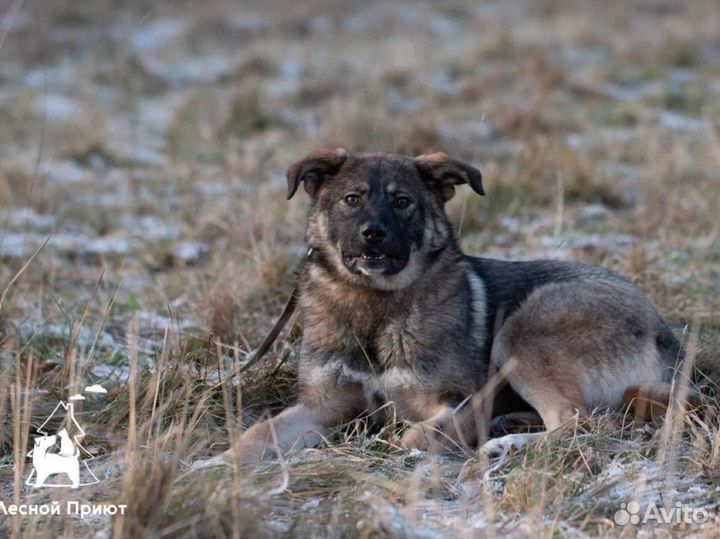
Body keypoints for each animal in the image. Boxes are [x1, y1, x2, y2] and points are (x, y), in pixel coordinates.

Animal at [217, 148, 684, 464]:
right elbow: (259, 432)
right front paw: (219, 465)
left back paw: (506, 444)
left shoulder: (455, 402)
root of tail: (663, 332)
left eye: (403, 201)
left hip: (523, 330)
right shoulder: (322, 405)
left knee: (577, 421)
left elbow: (415, 435)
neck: (375, 305)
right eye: (351, 199)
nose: (373, 233)